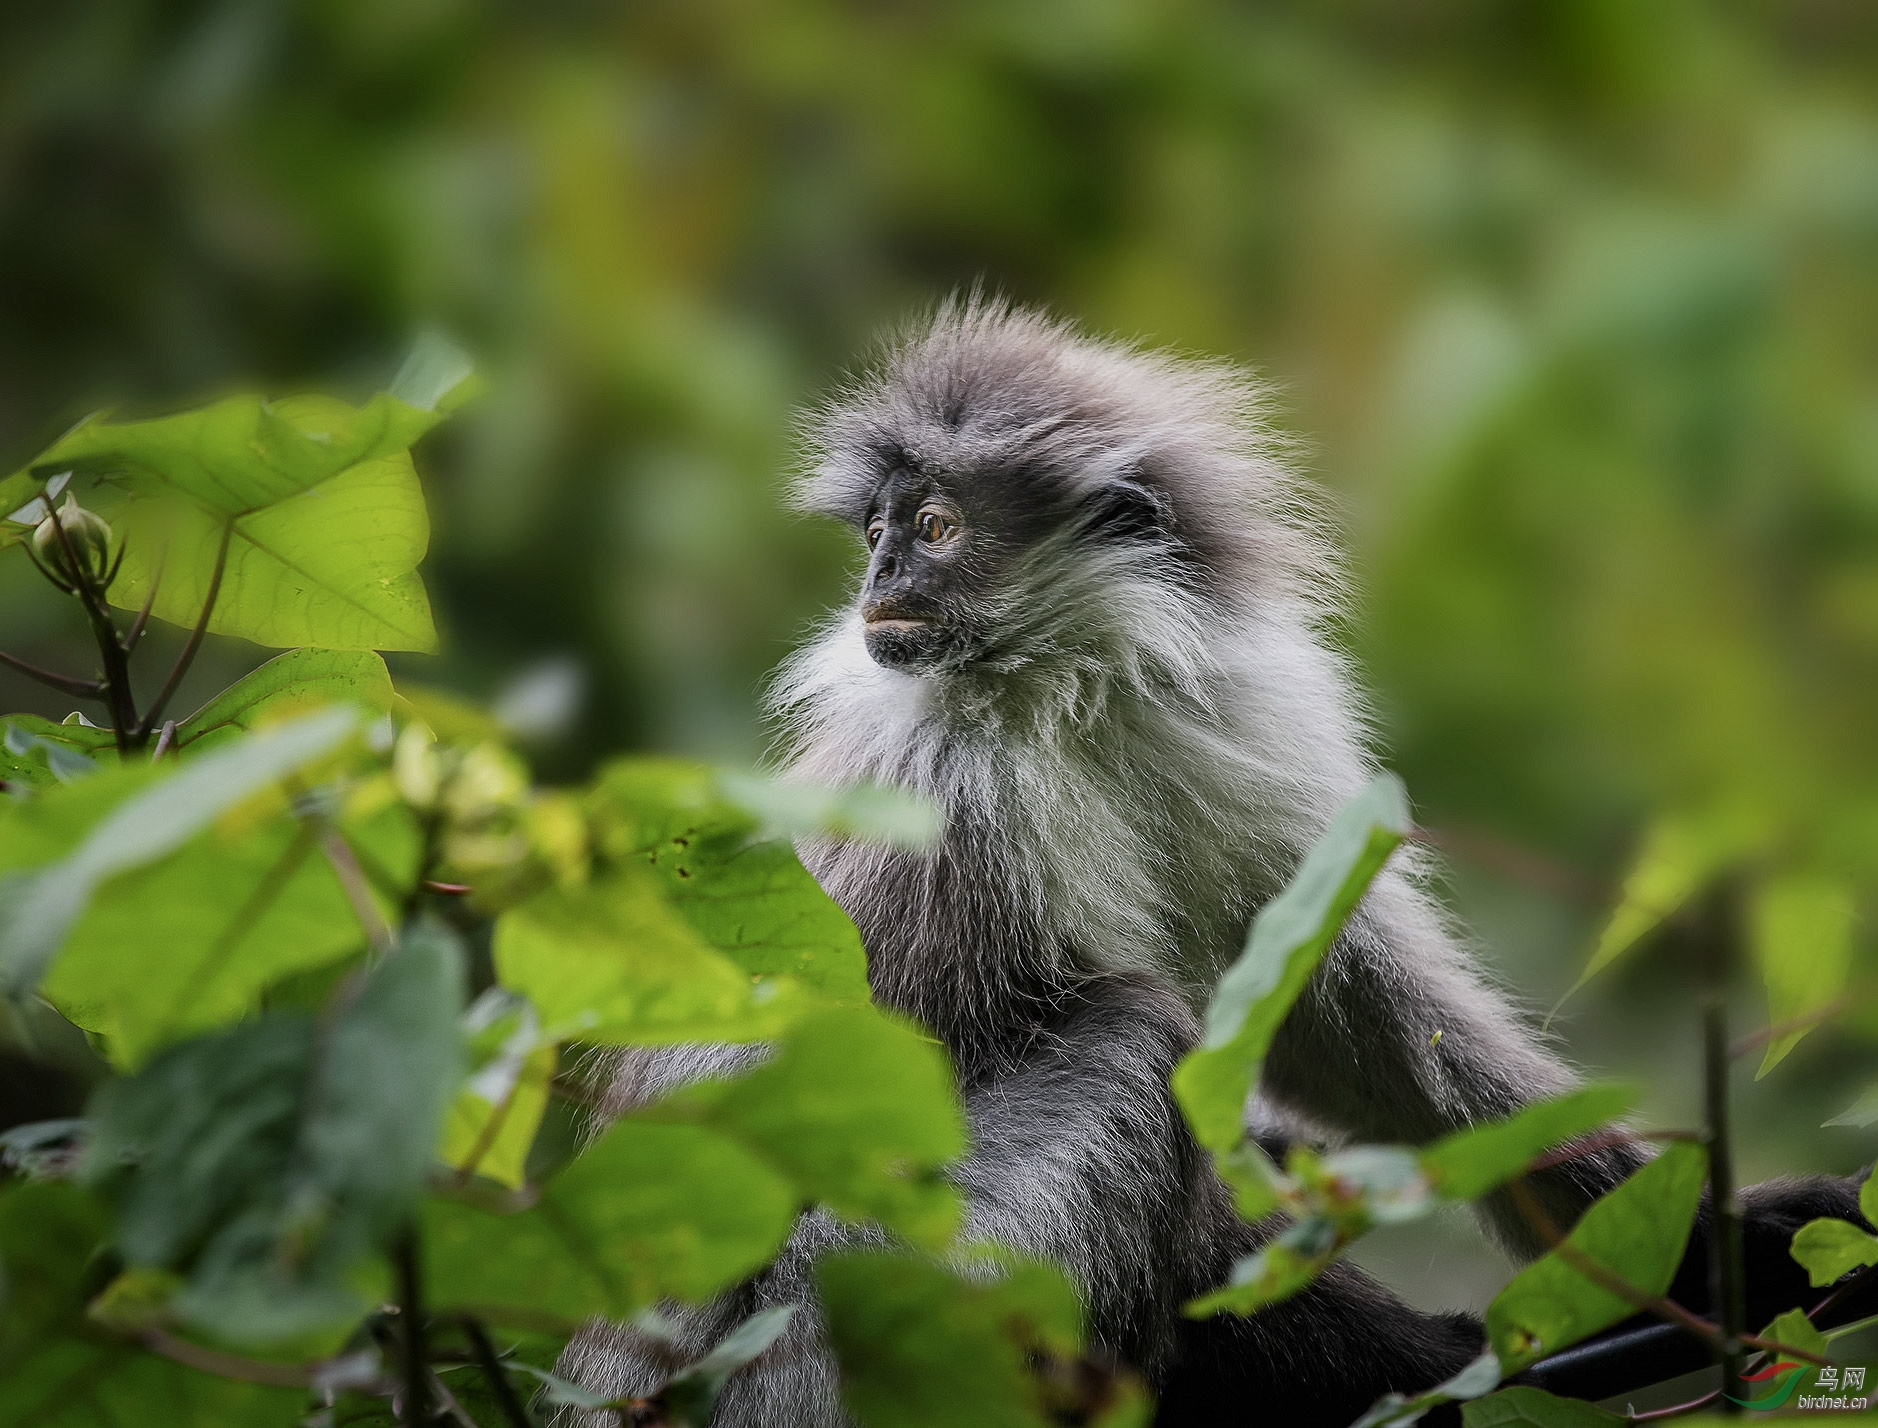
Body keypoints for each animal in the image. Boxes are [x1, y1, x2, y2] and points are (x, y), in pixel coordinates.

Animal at [563, 294, 1870, 1420]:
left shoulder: (1228, 738)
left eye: (933, 527)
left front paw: (1704, 1247)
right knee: (1134, 1036)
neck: (1068, 700)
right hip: (825, 1337)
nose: (880, 576)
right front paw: (1436, 1358)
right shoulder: (944, 789)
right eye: (881, 532)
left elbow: (1344, 1010)